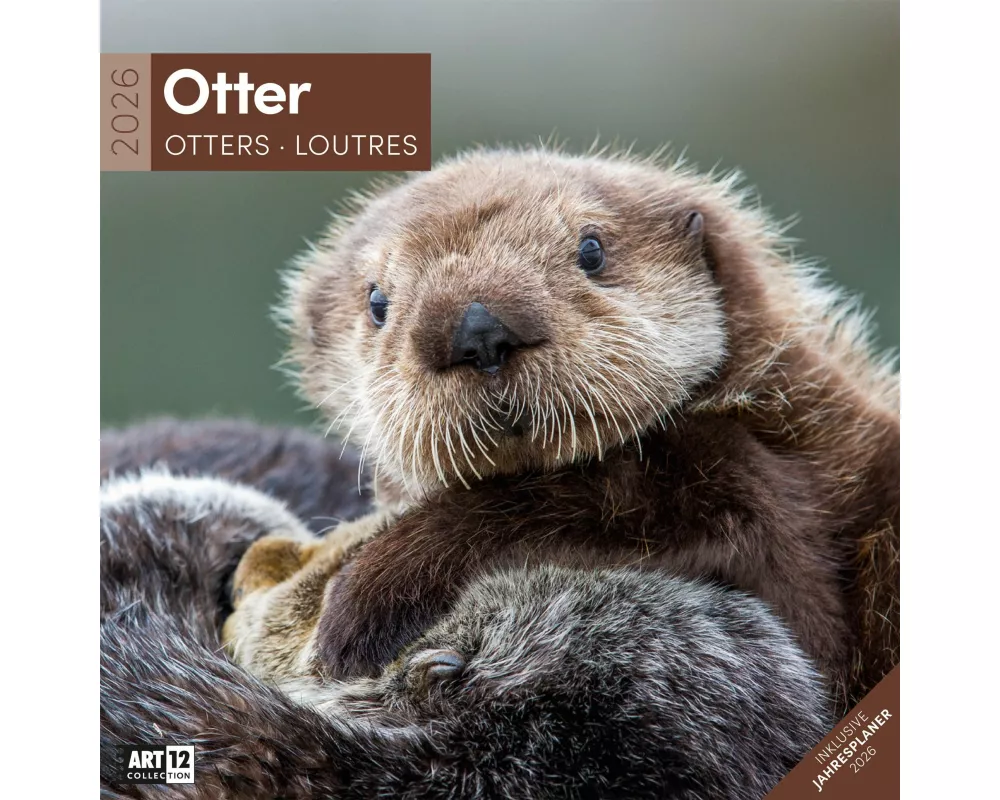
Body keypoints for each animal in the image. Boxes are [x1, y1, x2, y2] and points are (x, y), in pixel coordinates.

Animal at [227, 145, 899, 711]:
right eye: (377, 303)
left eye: (592, 250)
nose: (478, 330)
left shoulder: (774, 482)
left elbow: (586, 500)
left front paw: (364, 597)